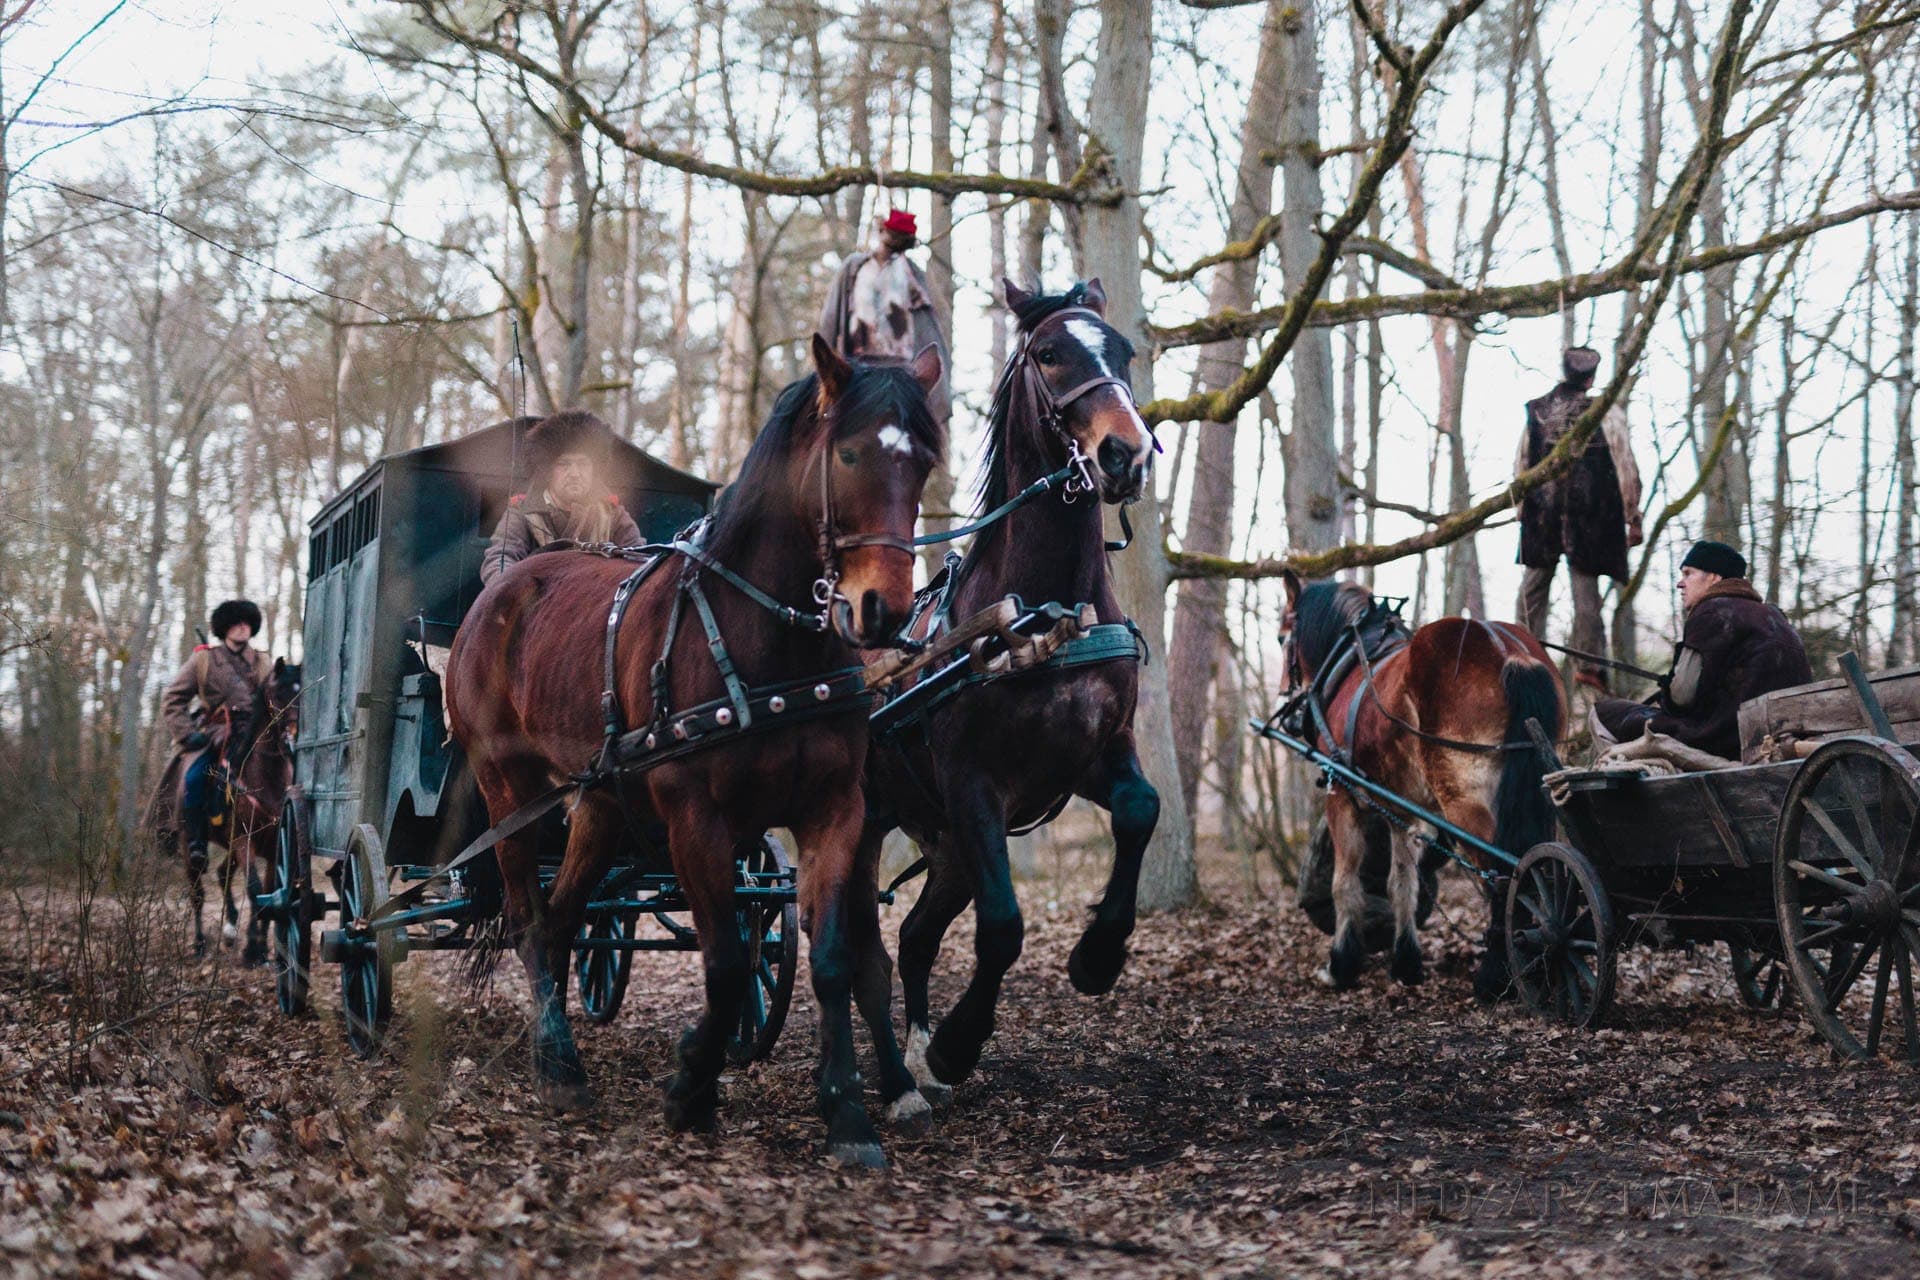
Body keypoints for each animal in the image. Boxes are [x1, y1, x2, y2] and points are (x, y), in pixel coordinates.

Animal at [441, 335, 936, 1166]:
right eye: (850, 454)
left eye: (925, 460)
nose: (884, 610)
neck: (764, 642)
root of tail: (506, 589)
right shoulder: (694, 819)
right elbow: (728, 962)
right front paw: (691, 1086)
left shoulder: (835, 811)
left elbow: (831, 961)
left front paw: (846, 1113)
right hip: (511, 791)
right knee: (527, 921)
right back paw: (557, 1063)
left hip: (598, 805)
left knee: (561, 919)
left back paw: (561, 1051)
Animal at [856, 278, 1152, 1113]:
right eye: (1049, 353)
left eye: (1124, 350)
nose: (1125, 453)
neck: (1043, 609)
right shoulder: (973, 783)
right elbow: (1003, 927)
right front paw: (960, 1044)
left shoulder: (1092, 756)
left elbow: (1140, 811)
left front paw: (1098, 955)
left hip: (947, 843)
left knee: (914, 939)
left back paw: (915, 1058)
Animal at [1274, 571, 1559, 997]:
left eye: (1281, 638)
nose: (1286, 704)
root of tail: (1511, 654)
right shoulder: (1399, 807)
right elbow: (1402, 883)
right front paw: (1406, 962)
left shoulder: (1342, 793)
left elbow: (1345, 883)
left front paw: (1341, 964)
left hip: (1466, 803)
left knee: (1506, 876)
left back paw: (1496, 975)